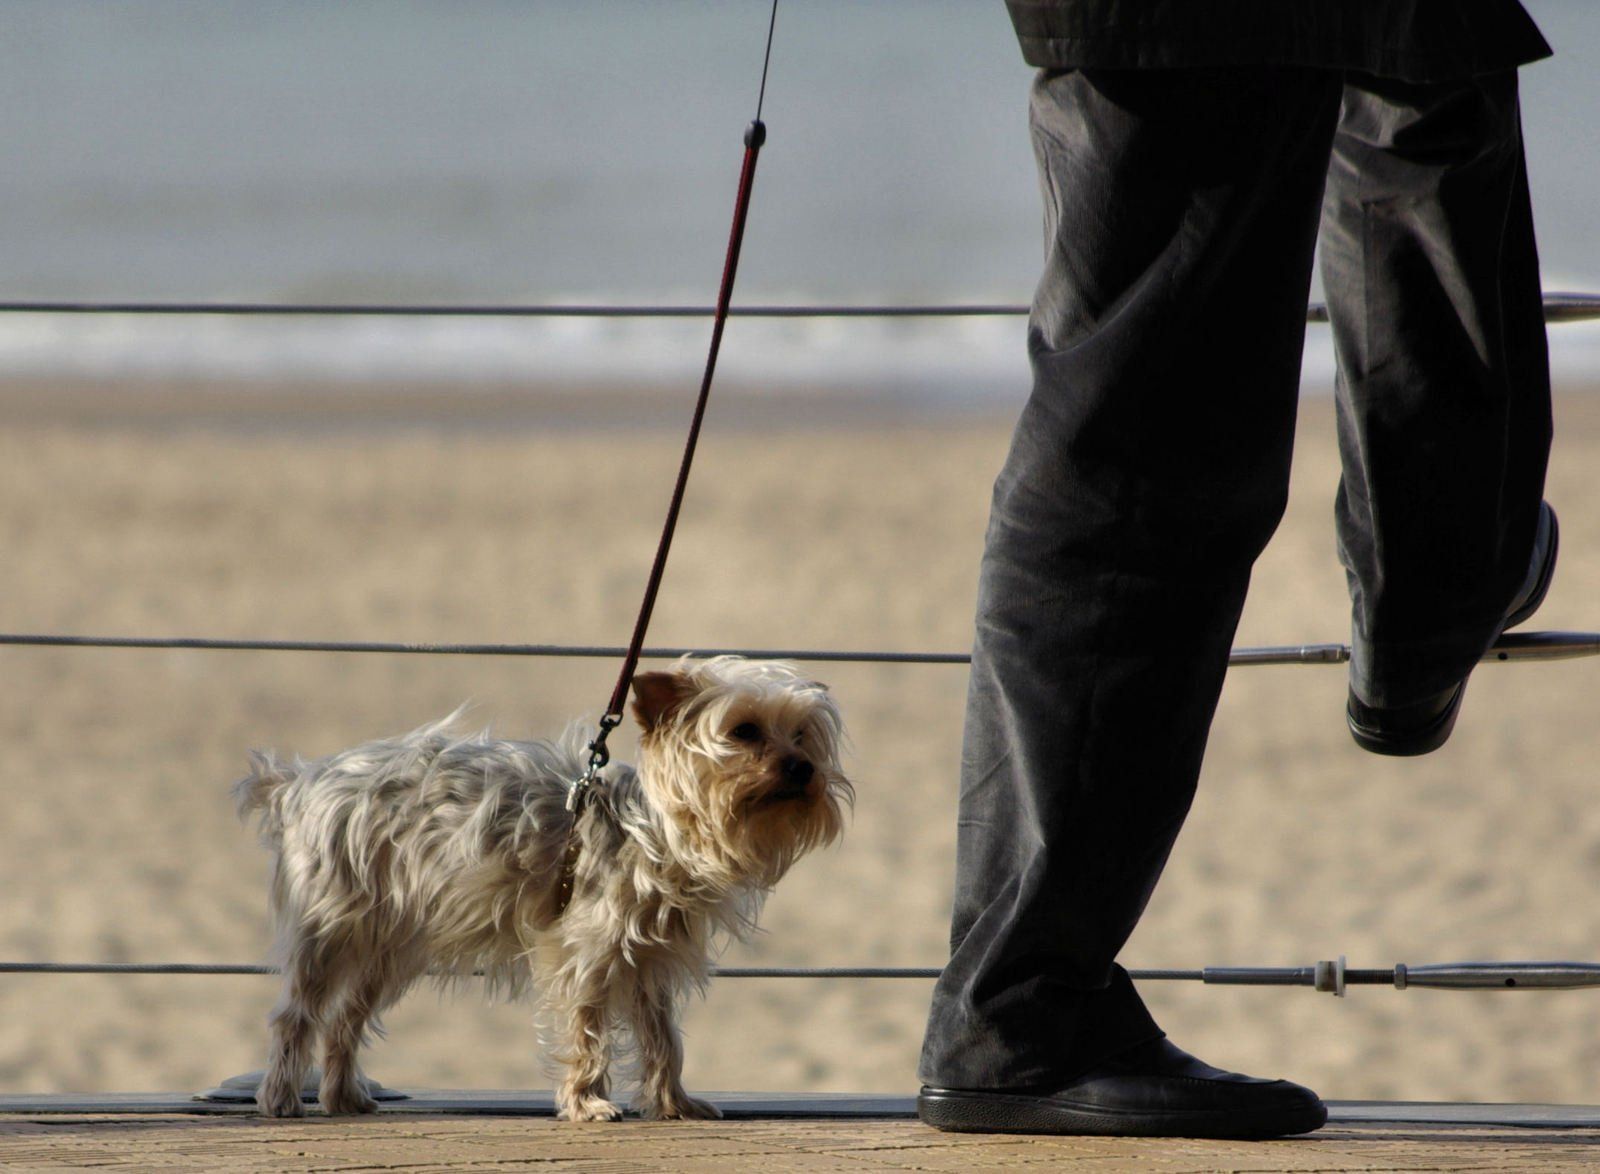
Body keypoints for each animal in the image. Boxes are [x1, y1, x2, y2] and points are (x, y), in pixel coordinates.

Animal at [235, 658, 851, 1126]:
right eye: (743, 731)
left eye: (802, 735)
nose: (802, 767)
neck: (655, 833)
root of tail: (300, 783)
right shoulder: (587, 947)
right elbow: (587, 1027)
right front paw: (587, 1103)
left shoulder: (648, 959)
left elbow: (663, 1038)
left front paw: (674, 1102)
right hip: (334, 924)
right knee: (297, 1014)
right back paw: (281, 1098)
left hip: (390, 943)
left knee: (347, 1018)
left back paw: (343, 1097)